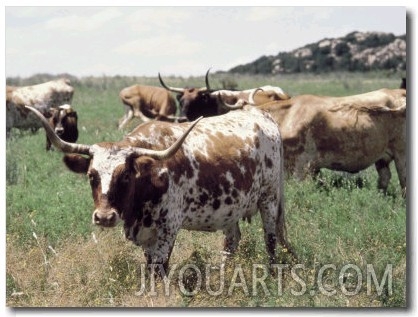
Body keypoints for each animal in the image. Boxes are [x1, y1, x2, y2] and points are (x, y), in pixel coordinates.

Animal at [27, 105, 294, 276]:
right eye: (92, 176)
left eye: (125, 176)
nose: (104, 217)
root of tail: (261, 114)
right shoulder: (146, 234)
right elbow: (149, 267)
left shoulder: (168, 228)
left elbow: (160, 268)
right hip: (230, 207)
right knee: (231, 242)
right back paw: (223, 275)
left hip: (269, 199)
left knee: (270, 240)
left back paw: (271, 275)